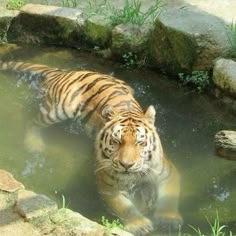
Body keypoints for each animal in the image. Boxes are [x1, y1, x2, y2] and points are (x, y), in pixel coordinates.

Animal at [0, 60, 183, 234]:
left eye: (140, 142)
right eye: (116, 141)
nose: (126, 165)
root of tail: (66, 71)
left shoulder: (168, 173)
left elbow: (169, 197)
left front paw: (168, 219)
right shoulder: (108, 187)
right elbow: (124, 207)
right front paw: (139, 225)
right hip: (58, 110)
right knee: (32, 122)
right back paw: (34, 144)